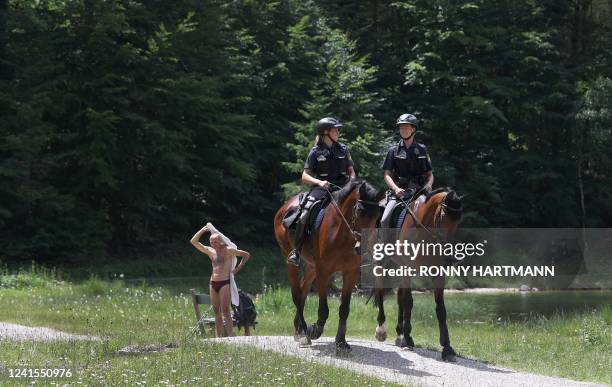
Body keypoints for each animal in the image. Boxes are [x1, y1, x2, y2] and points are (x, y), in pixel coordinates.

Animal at [274, 179, 382, 352]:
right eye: (359, 210)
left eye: (377, 215)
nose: (364, 246)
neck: (342, 235)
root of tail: (284, 207)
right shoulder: (324, 272)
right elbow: (323, 308)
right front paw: (315, 330)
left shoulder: (350, 273)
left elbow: (344, 309)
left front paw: (341, 342)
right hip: (289, 259)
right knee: (297, 293)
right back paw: (303, 333)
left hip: (311, 267)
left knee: (303, 290)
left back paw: (299, 330)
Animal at [372, 189, 464, 362]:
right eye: (443, 216)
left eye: (458, 220)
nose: (449, 255)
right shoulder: (408, 268)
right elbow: (409, 302)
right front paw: (408, 339)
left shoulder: (438, 273)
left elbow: (441, 309)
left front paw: (447, 348)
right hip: (382, 261)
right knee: (381, 291)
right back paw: (382, 330)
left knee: (399, 296)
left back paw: (399, 333)